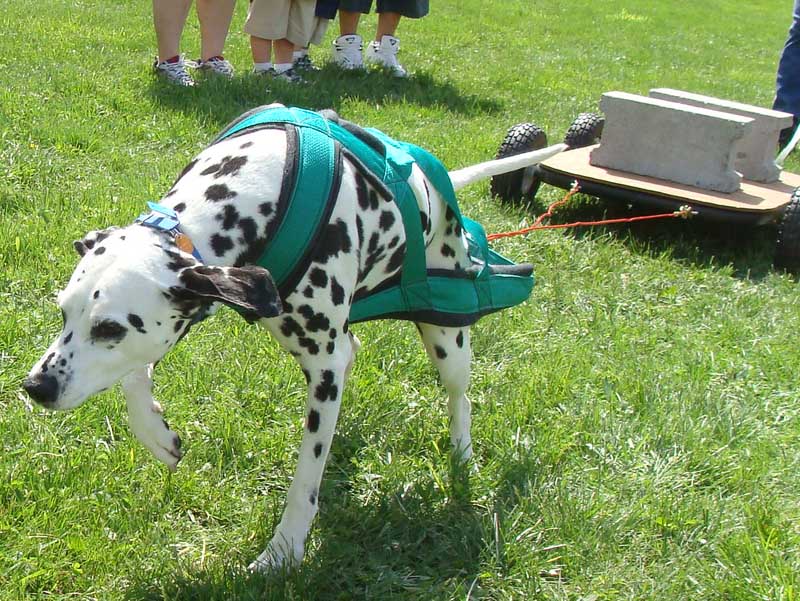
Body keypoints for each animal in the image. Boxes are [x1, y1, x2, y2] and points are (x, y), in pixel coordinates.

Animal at [23, 105, 564, 568]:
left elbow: (306, 478)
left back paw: (462, 457)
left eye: (109, 328)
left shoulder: (322, 365)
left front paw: (283, 551)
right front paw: (158, 436)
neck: (260, 187)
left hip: (446, 338)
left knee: (459, 399)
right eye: (64, 312)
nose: (35, 388)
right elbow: (135, 378)